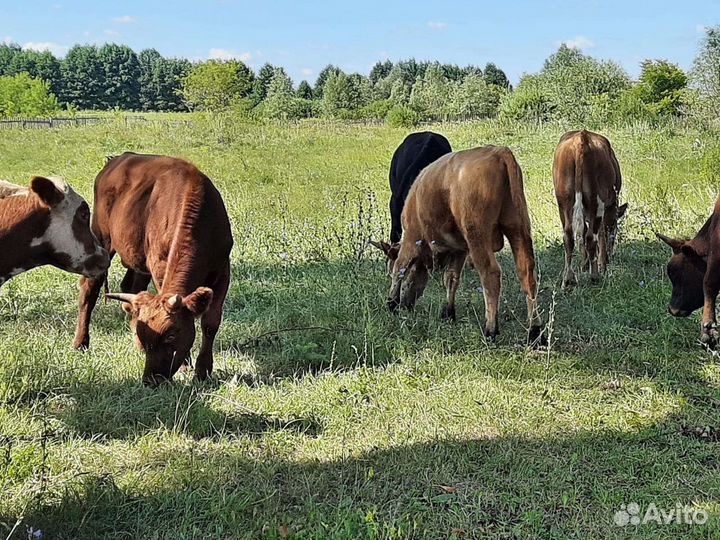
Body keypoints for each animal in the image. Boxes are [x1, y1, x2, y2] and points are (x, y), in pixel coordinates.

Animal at [73, 154, 232, 386]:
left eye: (171, 335)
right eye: (145, 337)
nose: (151, 379)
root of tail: (119, 158)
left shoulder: (222, 270)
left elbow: (211, 323)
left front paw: (203, 370)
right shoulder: (159, 267)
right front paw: (187, 365)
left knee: (130, 285)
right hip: (101, 238)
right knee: (89, 289)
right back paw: (81, 342)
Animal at [386, 146, 544, 344]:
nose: (406, 305)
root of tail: (498, 151)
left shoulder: (412, 238)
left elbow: (399, 268)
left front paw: (391, 302)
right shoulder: (459, 249)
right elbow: (451, 278)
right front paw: (448, 313)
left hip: (477, 235)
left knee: (490, 274)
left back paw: (490, 329)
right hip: (518, 228)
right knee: (527, 273)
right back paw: (535, 330)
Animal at [556, 130, 628, 286]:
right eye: (615, 228)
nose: (610, 257)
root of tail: (582, 137)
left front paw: (584, 265)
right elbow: (602, 234)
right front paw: (602, 265)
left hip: (563, 202)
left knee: (568, 236)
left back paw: (568, 279)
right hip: (597, 201)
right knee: (591, 237)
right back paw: (595, 276)